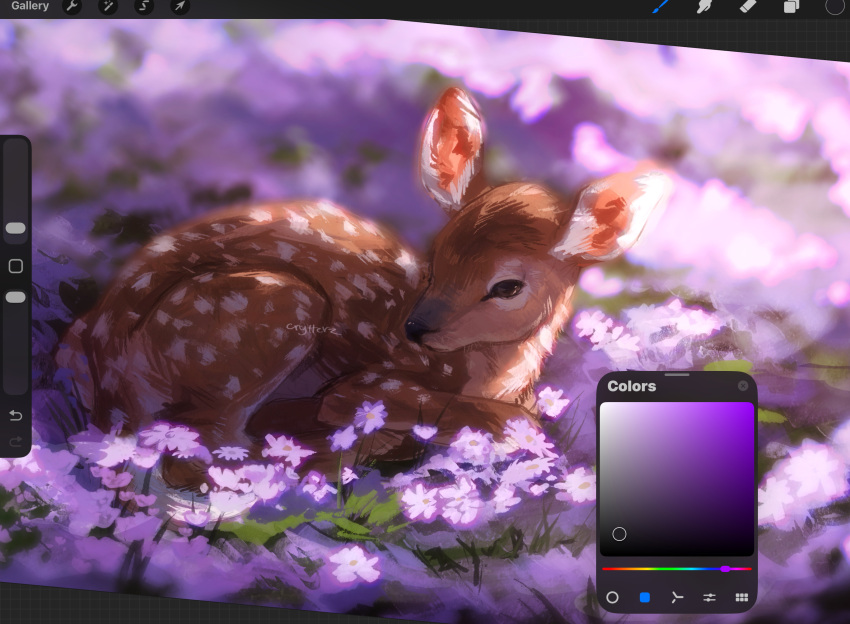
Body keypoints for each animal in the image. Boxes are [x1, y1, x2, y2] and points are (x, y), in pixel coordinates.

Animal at [55, 87, 672, 495]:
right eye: (436, 258)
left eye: (508, 285)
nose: (417, 328)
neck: (490, 371)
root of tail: (103, 376)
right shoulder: (370, 384)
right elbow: (501, 421)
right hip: (268, 310)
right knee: (194, 453)